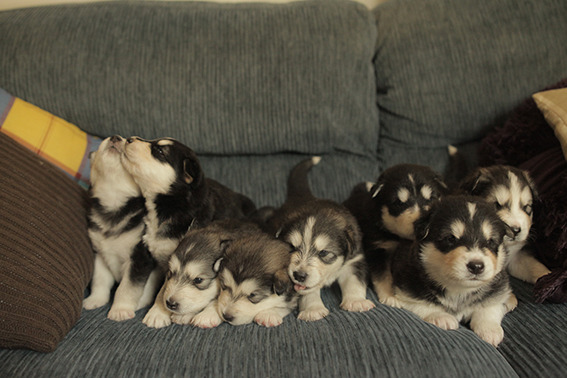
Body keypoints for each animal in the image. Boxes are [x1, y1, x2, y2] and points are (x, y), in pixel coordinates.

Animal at [82, 134, 158, 320]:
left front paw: (120, 309)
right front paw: (96, 299)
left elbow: (127, 287)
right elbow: (100, 280)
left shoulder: (139, 257)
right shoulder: (101, 255)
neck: (115, 201)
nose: (115, 137)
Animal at [266, 157, 378, 322]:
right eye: (292, 247)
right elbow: (308, 292)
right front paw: (313, 310)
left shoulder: (355, 259)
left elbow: (354, 281)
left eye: (324, 253)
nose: (299, 275)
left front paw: (356, 301)